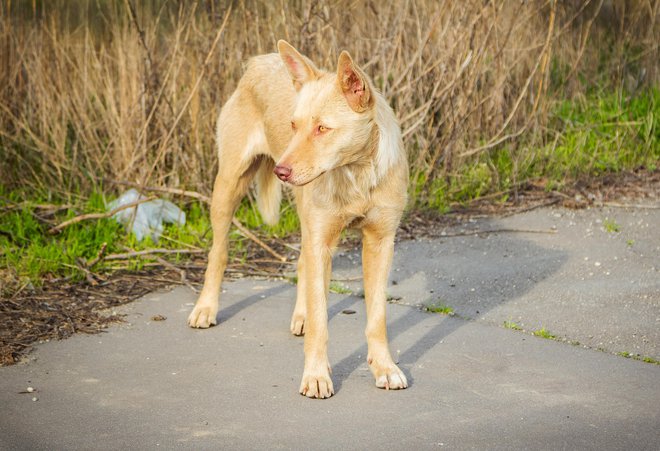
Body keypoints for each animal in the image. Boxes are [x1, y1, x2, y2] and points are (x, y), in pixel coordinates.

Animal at [186, 39, 410, 400]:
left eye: (322, 129)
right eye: (294, 125)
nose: (281, 171)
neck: (356, 173)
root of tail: (259, 61)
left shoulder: (380, 242)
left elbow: (376, 318)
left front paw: (384, 367)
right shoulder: (322, 240)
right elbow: (321, 324)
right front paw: (317, 375)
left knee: (303, 263)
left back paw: (300, 314)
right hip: (228, 188)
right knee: (218, 253)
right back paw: (206, 307)